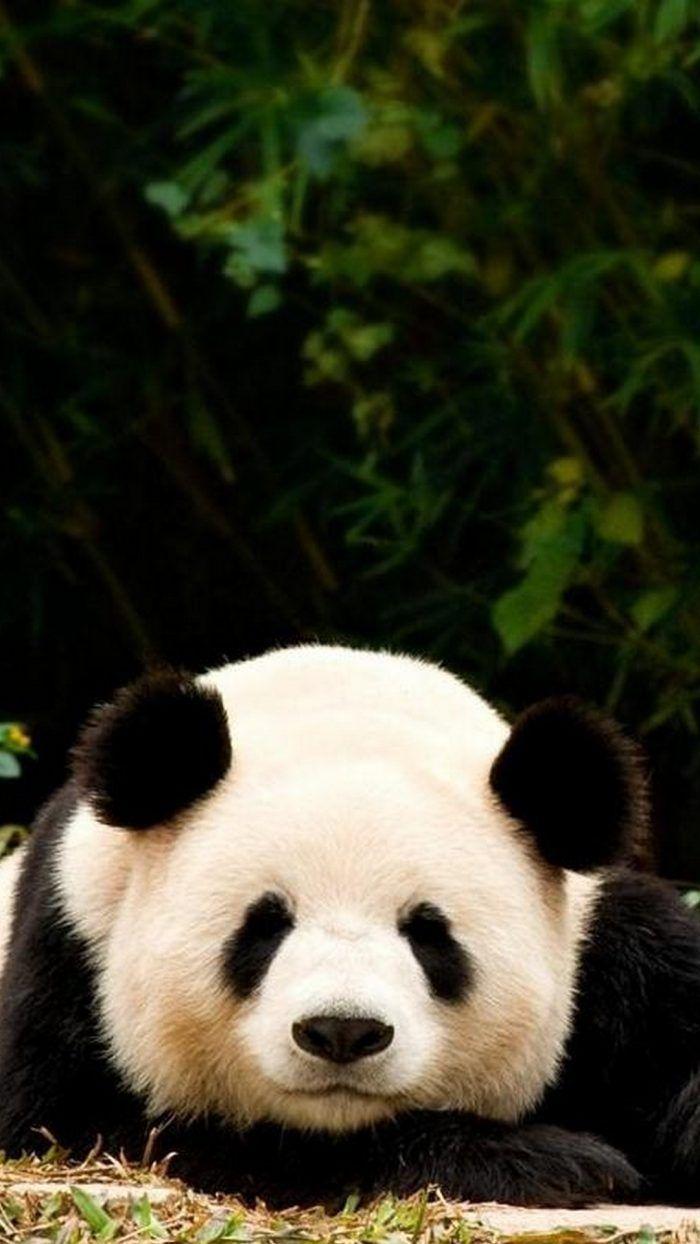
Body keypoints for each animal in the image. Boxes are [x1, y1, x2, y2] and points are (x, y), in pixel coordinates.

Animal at [0, 644, 699, 1208]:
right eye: (264, 926)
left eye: (429, 934)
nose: (342, 1031)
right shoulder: (73, 942)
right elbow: (99, 1128)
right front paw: (549, 1162)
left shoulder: (617, 948)